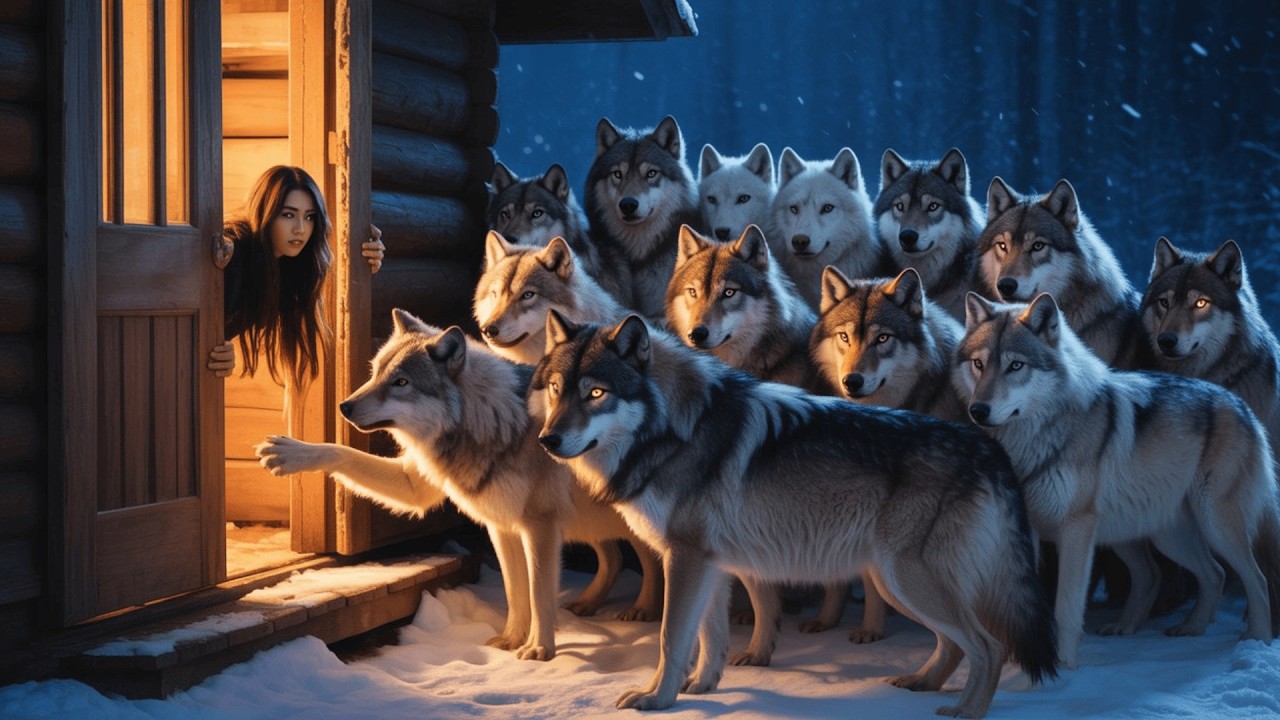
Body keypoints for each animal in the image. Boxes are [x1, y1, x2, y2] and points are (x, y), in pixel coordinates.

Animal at [255, 310, 664, 661]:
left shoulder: (540, 529)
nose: (345, 407)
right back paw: (594, 605)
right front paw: (510, 641)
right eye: (374, 373)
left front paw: (538, 651)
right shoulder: (496, 524)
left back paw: (643, 610)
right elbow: (516, 592)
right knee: (615, 558)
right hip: (593, 522)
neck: (492, 425)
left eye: (401, 383)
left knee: (645, 557)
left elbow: (538, 594)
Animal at [533, 311, 1058, 717]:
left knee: (988, 647)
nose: (548, 440)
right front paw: (701, 689)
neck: (676, 429)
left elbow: (670, 638)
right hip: (897, 583)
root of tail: (988, 449)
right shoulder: (709, 565)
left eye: (596, 394)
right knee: (952, 645)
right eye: (557, 389)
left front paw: (657, 701)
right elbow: (708, 639)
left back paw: (966, 711)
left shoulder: (685, 559)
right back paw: (921, 684)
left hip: (907, 579)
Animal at [954, 291, 1280, 669]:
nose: (978, 411)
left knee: (1255, 579)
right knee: (1197, 574)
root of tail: (1240, 404)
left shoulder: (1075, 529)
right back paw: (1175, 628)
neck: (1036, 440)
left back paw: (1257, 639)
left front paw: (1063, 665)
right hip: (1154, 534)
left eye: (1016, 366)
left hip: (1214, 526)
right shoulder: (1030, 530)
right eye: (979, 364)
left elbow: (1067, 606)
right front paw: (1020, 662)